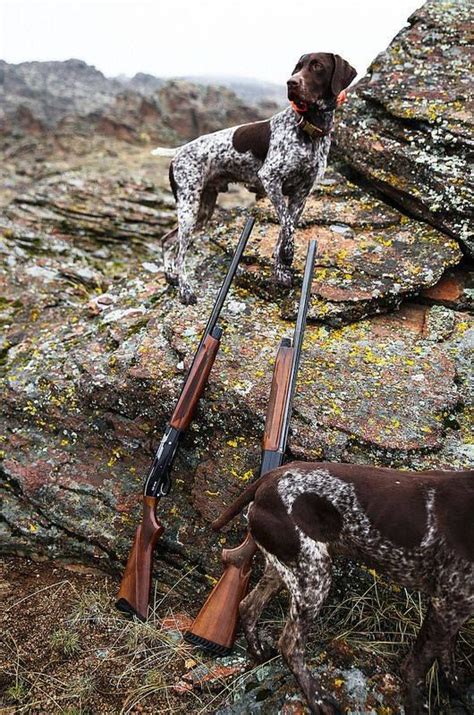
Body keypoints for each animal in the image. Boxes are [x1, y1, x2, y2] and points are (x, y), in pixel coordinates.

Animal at [155, 52, 356, 304]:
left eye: (317, 66)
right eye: (298, 67)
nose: (291, 83)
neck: (309, 128)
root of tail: (179, 151)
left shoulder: (301, 194)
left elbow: (286, 229)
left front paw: (280, 269)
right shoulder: (270, 179)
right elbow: (287, 227)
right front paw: (286, 257)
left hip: (202, 211)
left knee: (167, 240)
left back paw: (170, 275)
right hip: (188, 208)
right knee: (180, 252)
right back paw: (185, 289)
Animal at [213, 462, 472, 712]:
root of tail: (269, 478)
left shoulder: (455, 603)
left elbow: (447, 653)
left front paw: (456, 688)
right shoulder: (448, 604)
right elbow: (416, 668)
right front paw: (418, 703)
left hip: (286, 566)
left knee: (248, 606)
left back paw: (258, 652)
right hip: (314, 577)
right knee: (289, 644)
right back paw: (318, 699)